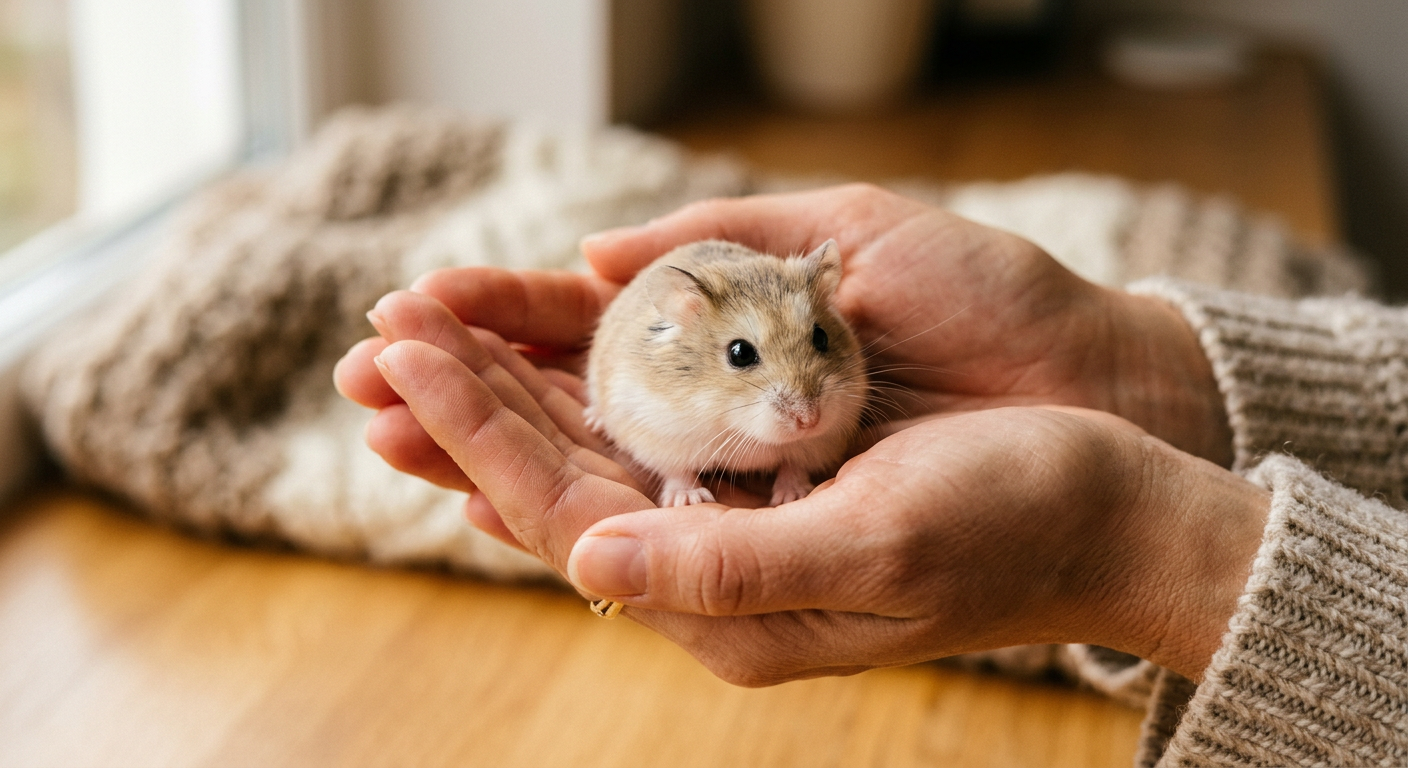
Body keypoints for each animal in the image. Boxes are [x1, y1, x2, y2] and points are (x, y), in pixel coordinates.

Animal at [585, 239, 868, 507]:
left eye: (821, 337)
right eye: (740, 353)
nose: (810, 421)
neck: (739, 428)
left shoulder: (819, 442)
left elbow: (794, 466)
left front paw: (793, 495)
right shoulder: (656, 433)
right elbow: (677, 471)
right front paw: (689, 499)